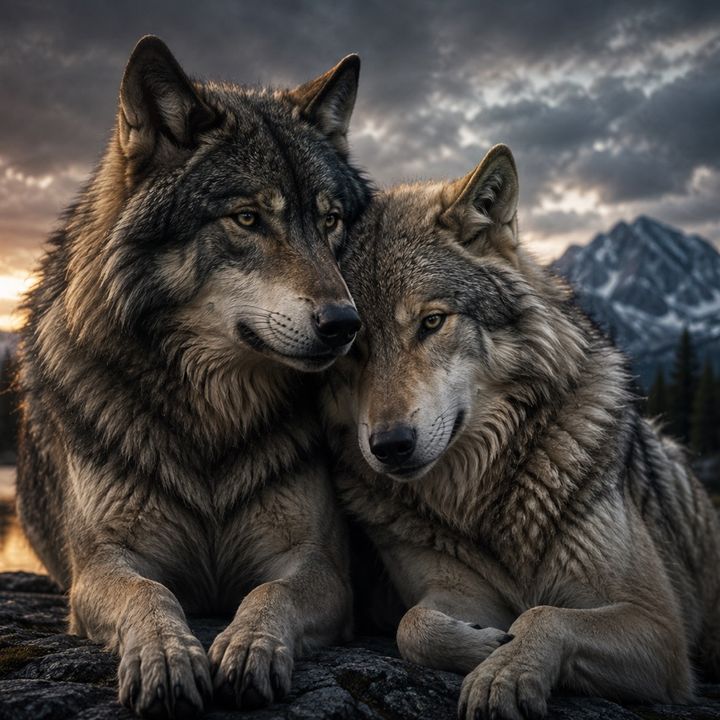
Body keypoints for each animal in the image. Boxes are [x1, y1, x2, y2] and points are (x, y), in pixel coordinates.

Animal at [16, 36, 370, 718]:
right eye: (248, 219)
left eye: (331, 221)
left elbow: (269, 596)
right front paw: (167, 657)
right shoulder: (98, 566)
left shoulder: (319, 564)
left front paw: (250, 646)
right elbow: (147, 595)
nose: (345, 323)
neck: (213, 418)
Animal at [325, 144, 720, 720]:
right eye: (352, 345)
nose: (391, 446)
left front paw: (506, 669)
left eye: (431, 322)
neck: (484, 495)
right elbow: (412, 626)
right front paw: (486, 645)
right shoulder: (452, 592)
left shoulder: (659, 629)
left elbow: (543, 615)